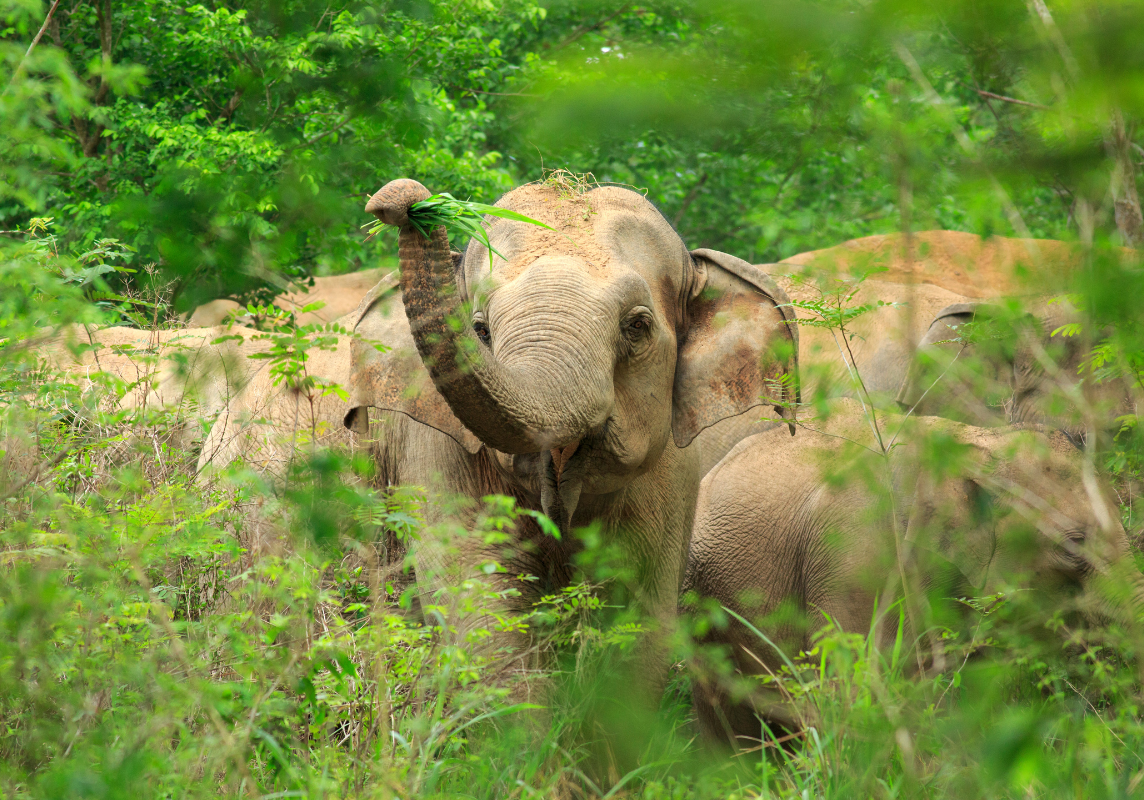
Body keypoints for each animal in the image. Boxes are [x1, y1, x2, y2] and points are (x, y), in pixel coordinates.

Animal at [343, 176, 800, 700]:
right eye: (480, 331)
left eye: (637, 326)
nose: (400, 201)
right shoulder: (438, 456)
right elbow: (482, 609)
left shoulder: (670, 480)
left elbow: (636, 624)